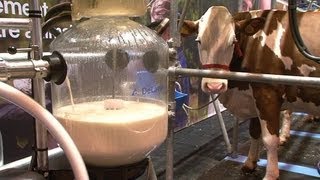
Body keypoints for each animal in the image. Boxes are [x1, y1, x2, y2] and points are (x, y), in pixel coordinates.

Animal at [181, 5, 320, 180]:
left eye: (233, 41)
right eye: (198, 41)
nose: (214, 86)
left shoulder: (267, 94)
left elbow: (269, 139)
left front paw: (271, 175)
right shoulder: (253, 95)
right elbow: (254, 131)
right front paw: (250, 163)